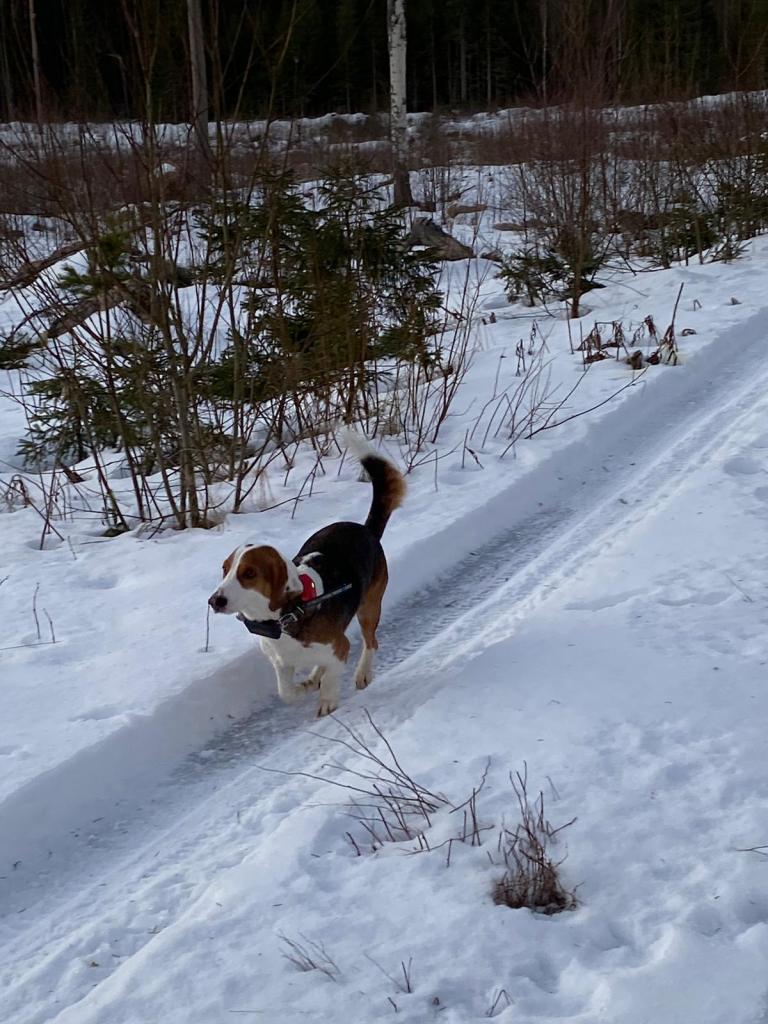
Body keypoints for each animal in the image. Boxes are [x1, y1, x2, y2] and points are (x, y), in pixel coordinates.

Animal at [208, 435, 405, 716]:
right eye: (225, 569)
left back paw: (362, 673)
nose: (215, 601)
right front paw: (305, 686)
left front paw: (327, 700)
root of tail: (365, 530)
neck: (286, 616)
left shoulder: (340, 645)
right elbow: (286, 693)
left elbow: (334, 673)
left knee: (371, 641)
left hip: (368, 607)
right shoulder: (281, 663)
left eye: (249, 573)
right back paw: (314, 677)